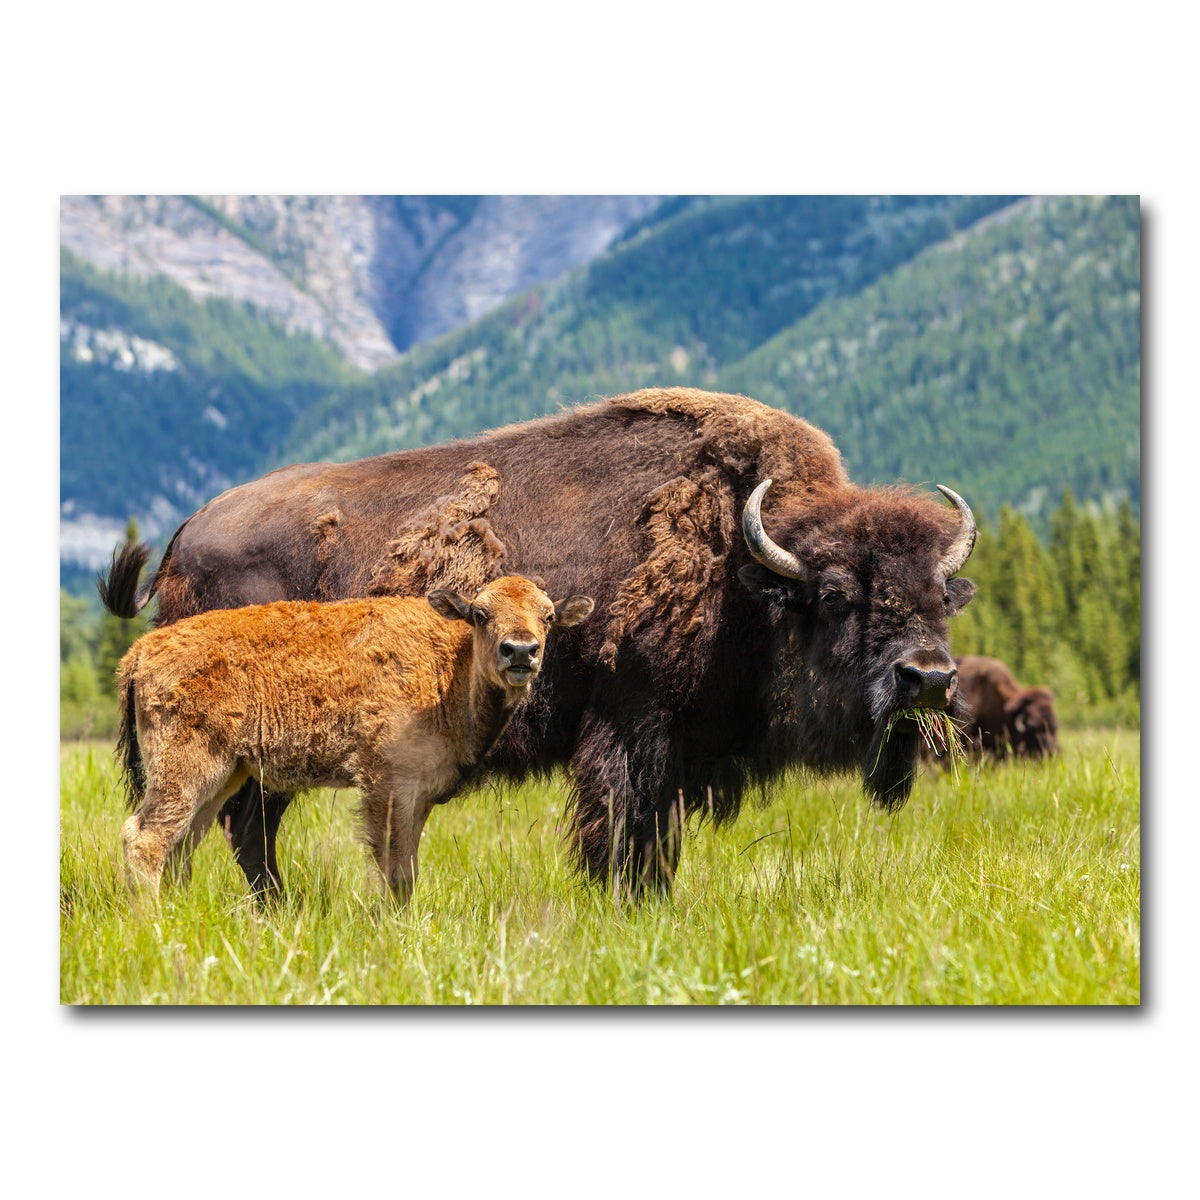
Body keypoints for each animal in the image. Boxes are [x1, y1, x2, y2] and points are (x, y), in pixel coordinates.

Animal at [115, 575, 594, 900]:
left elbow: (408, 867)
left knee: (183, 843)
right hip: (185, 770)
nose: (520, 651)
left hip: (222, 775)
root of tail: (140, 651)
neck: (449, 667)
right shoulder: (386, 785)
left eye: (549, 616)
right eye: (481, 614)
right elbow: (393, 869)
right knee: (146, 838)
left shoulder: (419, 794)